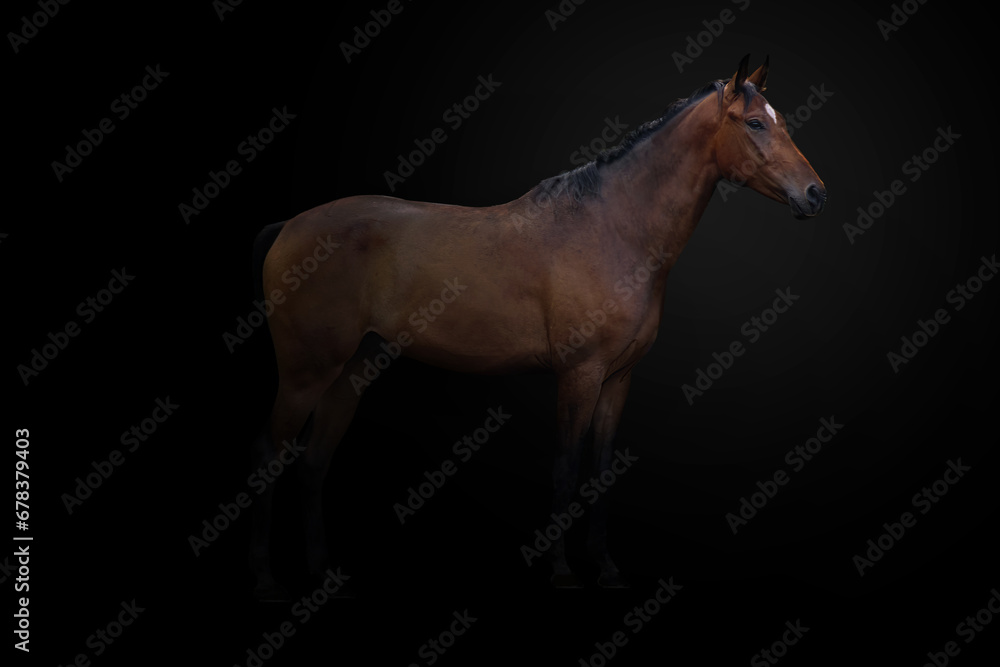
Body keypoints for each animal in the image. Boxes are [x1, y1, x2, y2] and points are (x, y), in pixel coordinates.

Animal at [248, 54, 826, 598]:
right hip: (306, 373)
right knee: (272, 453)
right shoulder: (580, 373)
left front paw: (608, 570)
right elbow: (566, 467)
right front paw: (564, 572)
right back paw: (269, 582)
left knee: (314, 462)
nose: (816, 193)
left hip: (352, 370)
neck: (614, 229)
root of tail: (290, 226)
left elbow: (601, 471)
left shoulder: (618, 379)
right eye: (755, 122)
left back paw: (322, 575)